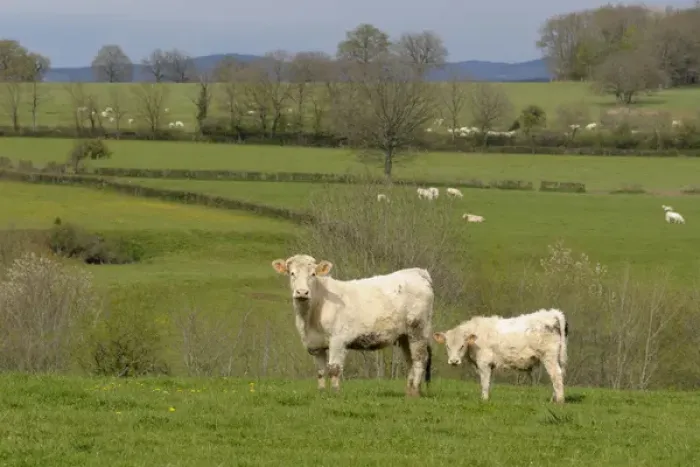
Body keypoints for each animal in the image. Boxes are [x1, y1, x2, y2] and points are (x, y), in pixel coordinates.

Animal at [271, 254, 434, 397]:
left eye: (313, 274)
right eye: (292, 273)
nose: (302, 292)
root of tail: (416, 272)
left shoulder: (338, 340)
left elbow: (334, 368)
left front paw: (335, 393)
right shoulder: (315, 345)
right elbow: (321, 371)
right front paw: (322, 393)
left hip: (418, 330)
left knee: (419, 359)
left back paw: (415, 392)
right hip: (405, 336)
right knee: (410, 361)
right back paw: (409, 392)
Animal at [433, 308, 568, 403]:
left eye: (462, 345)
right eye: (447, 346)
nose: (454, 361)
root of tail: (552, 313)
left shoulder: (484, 363)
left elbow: (485, 382)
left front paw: (484, 400)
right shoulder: (490, 365)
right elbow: (489, 382)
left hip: (549, 356)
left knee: (556, 375)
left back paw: (559, 401)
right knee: (559, 375)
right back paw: (553, 399)